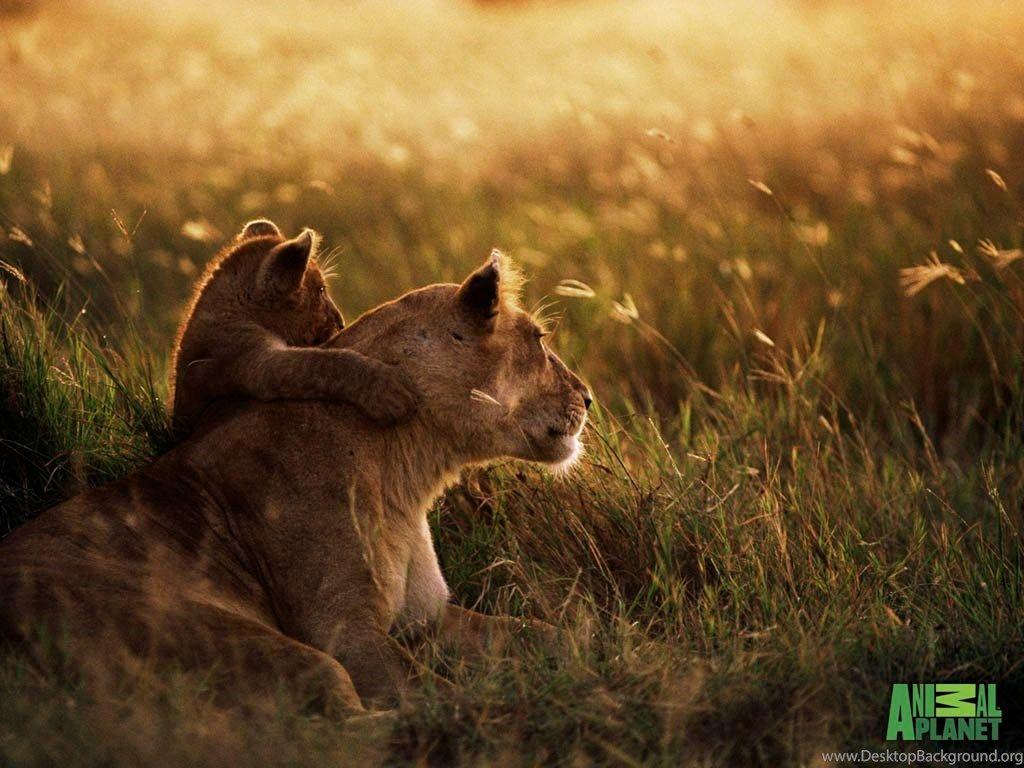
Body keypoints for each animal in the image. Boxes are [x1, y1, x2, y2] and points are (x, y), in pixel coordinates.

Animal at [0, 251, 591, 713]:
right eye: (539, 338)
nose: (588, 398)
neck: (408, 470)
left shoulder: (429, 618)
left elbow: (548, 634)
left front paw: (601, 650)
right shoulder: (344, 630)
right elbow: (436, 694)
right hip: (245, 641)